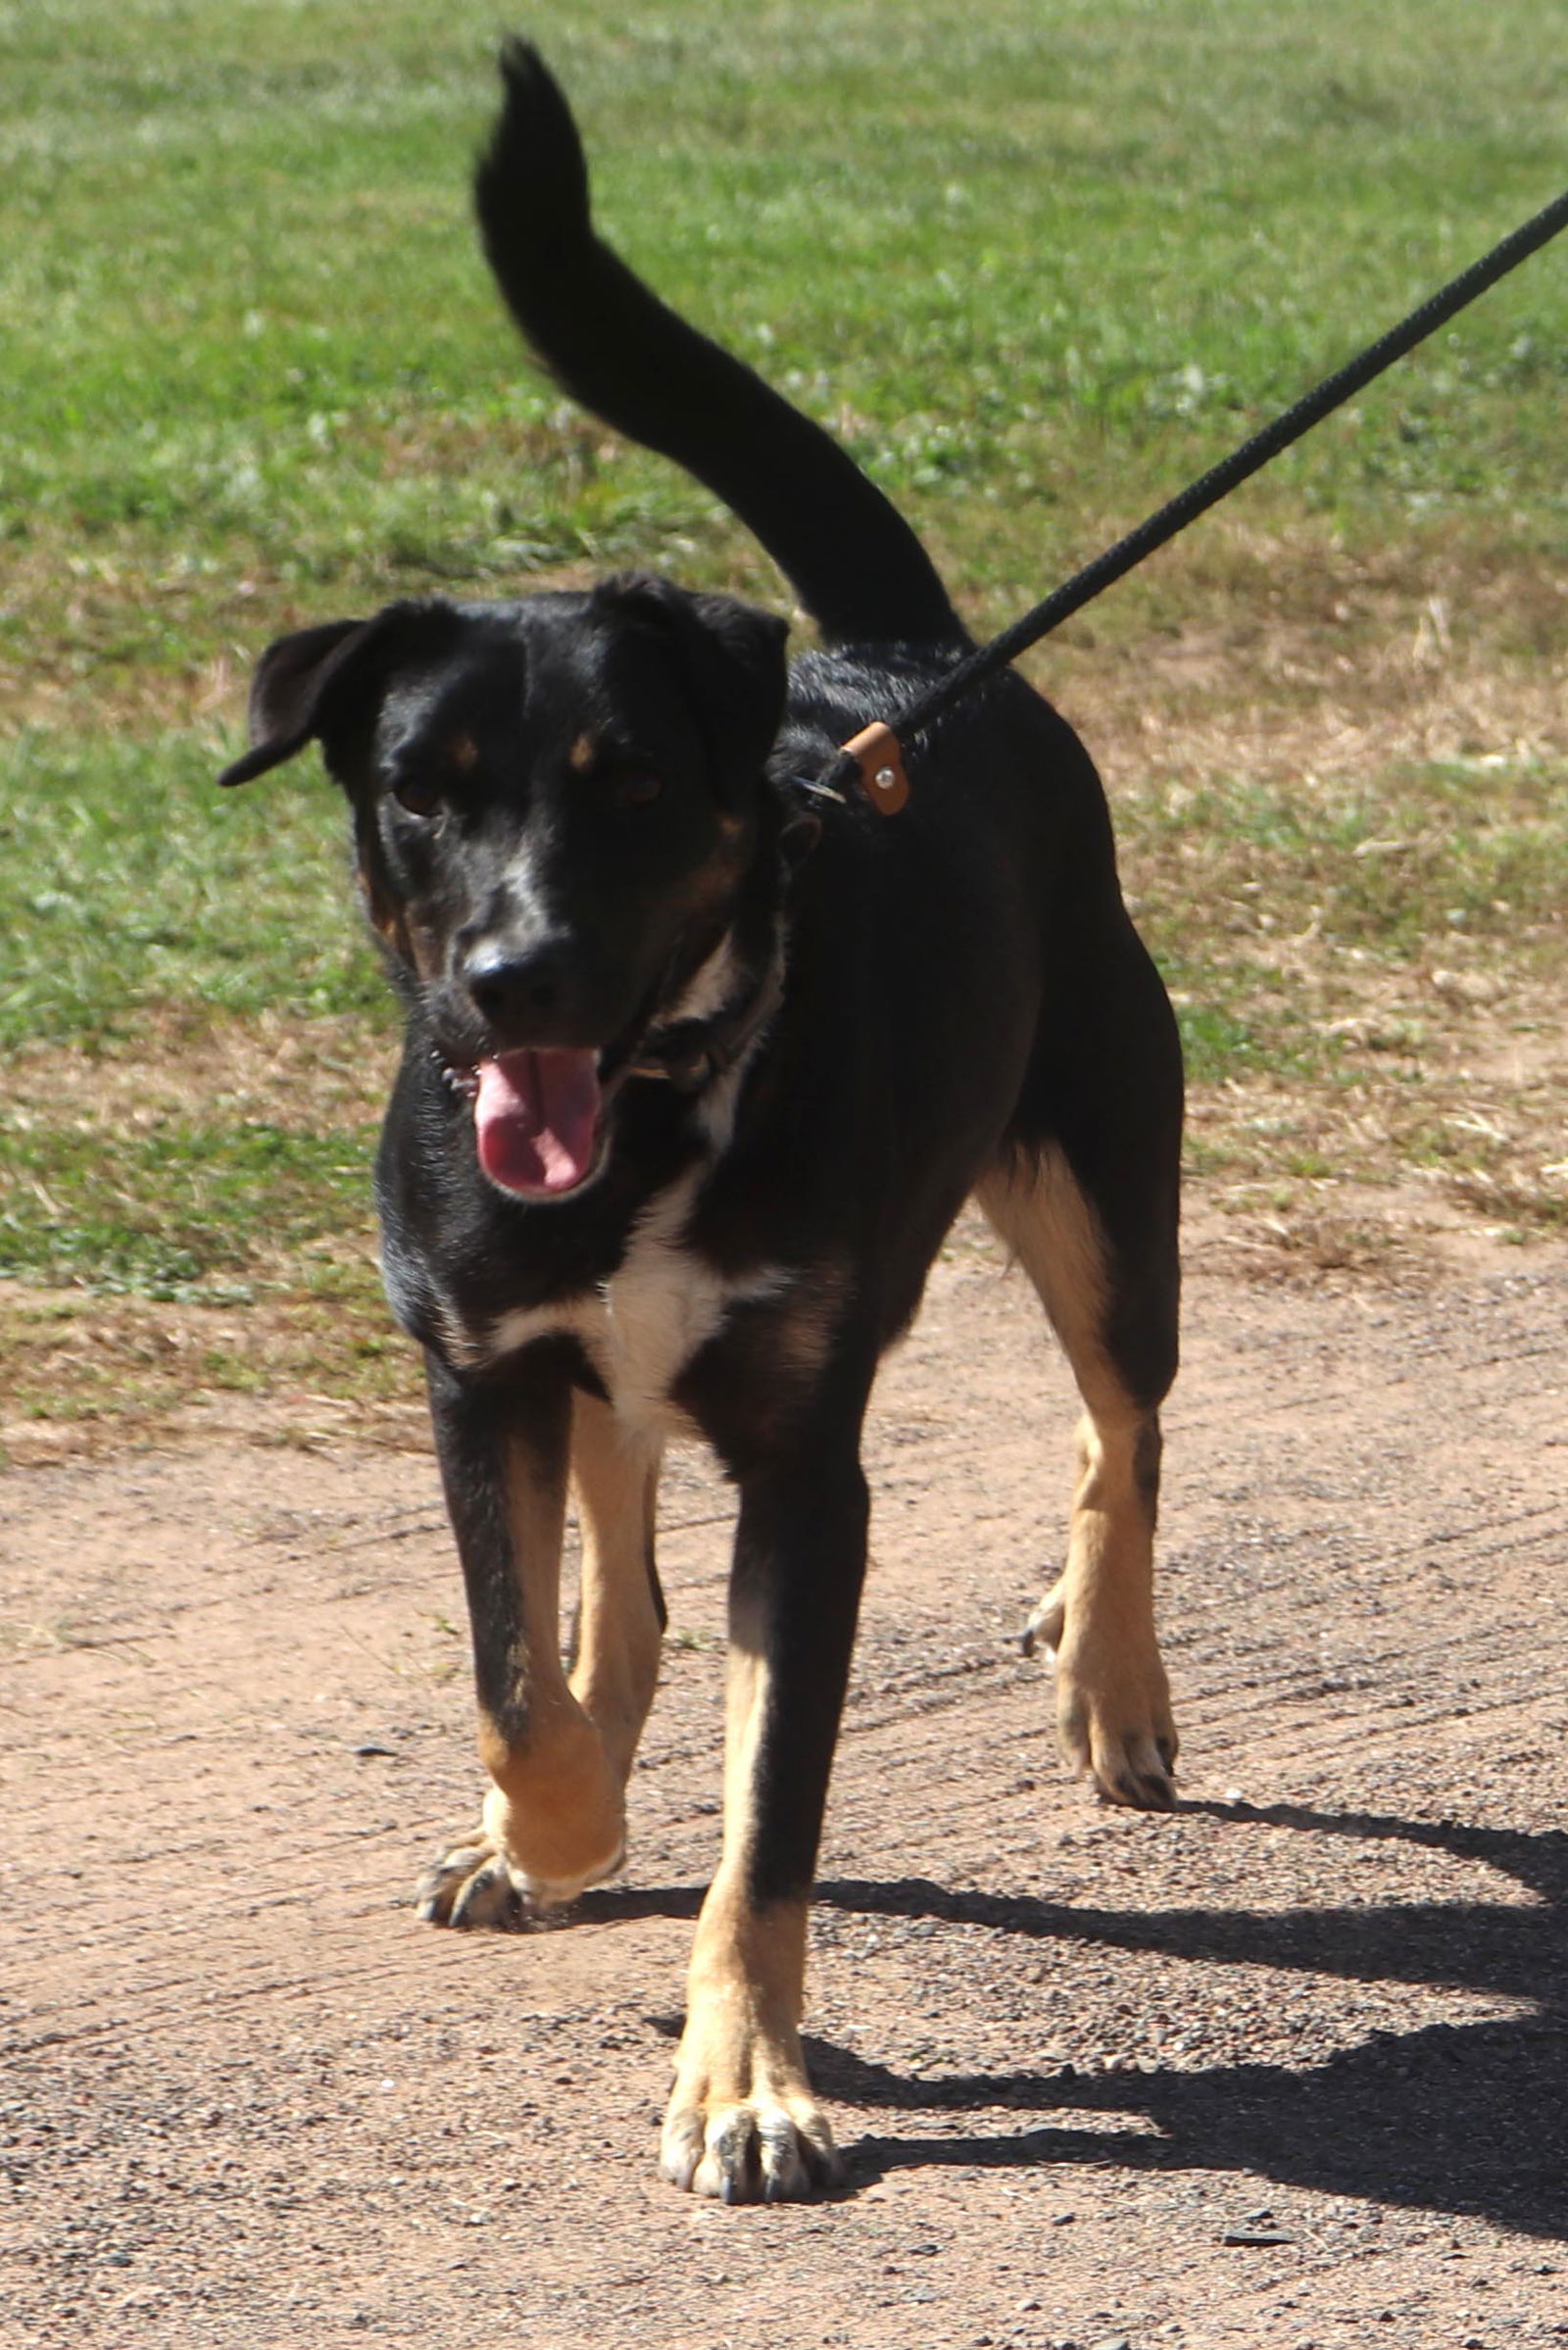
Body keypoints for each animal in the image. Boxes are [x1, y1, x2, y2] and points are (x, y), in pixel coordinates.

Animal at [217, 41, 1175, 2199]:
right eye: (421, 784)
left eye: (629, 776)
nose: (518, 976)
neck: (661, 1117)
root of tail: (910, 661)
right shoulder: (482, 1372)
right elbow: (523, 1676)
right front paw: (546, 1831)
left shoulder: (810, 1467)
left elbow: (768, 1821)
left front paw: (747, 2081)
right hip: (606, 1376)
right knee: (623, 1578)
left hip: (1103, 1184)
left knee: (1120, 1429)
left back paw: (1110, 1671)